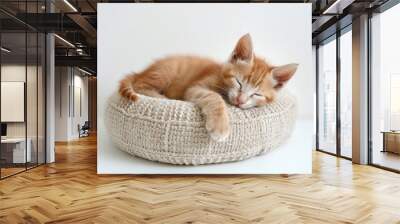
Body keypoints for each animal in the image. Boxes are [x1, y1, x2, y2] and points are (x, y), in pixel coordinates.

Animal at [118, 34, 296, 141]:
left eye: (257, 94)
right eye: (238, 82)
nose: (240, 100)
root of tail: (142, 71)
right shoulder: (196, 87)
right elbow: (214, 97)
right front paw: (220, 126)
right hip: (165, 71)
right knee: (140, 85)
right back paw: (162, 97)